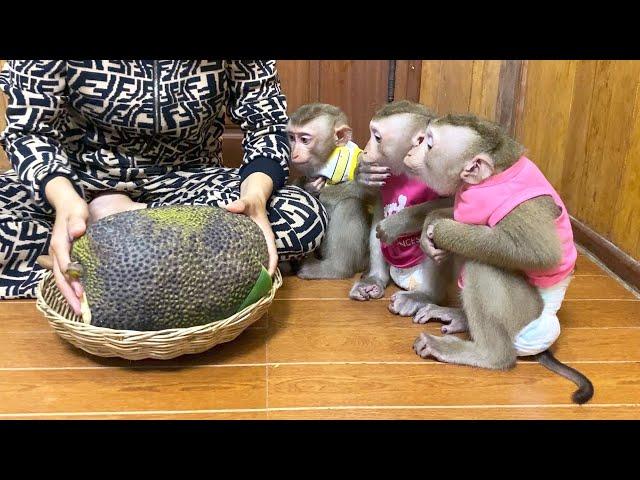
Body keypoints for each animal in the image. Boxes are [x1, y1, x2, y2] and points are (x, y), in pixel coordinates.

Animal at [380, 113, 596, 404]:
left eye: (429, 144)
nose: (412, 151)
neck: (489, 178)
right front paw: (428, 224)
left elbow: (541, 253)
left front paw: (440, 228)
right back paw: (436, 303)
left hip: (526, 313)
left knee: (481, 263)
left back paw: (487, 354)